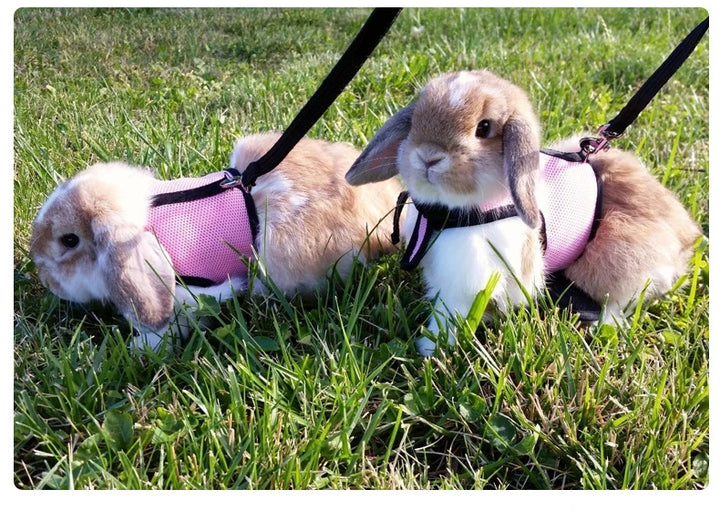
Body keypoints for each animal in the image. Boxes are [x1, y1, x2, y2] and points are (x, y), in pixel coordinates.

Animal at [345, 69, 702, 356]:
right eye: (417, 118)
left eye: (484, 128)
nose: (428, 157)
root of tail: (687, 237)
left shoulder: (466, 283)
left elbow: (450, 315)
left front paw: (431, 348)